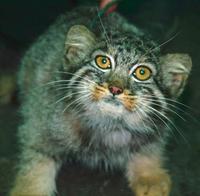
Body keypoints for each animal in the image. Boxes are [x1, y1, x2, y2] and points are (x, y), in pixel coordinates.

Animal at [10, 6, 191, 196]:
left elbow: (148, 150)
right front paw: (30, 188)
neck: (109, 124)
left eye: (142, 73)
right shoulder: (39, 124)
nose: (115, 89)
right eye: (103, 62)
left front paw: (148, 175)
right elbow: (36, 159)